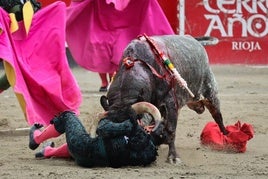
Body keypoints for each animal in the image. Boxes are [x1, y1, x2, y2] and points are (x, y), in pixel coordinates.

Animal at [99, 34, 227, 164]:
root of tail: (195, 40)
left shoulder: (170, 104)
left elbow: (170, 129)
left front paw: (173, 157)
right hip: (192, 101)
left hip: (210, 92)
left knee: (217, 115)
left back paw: (226, 137)